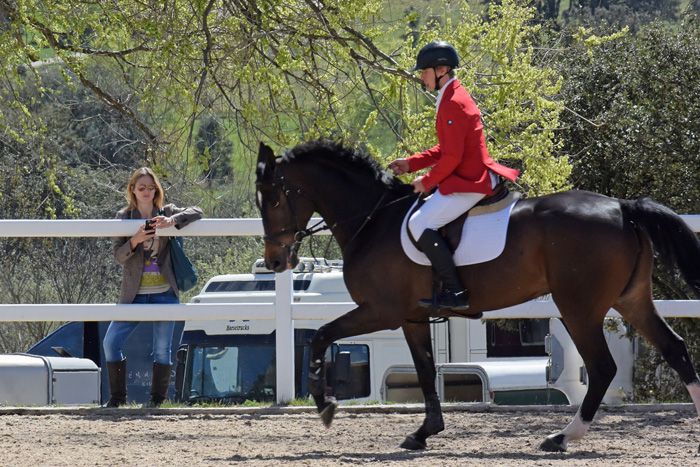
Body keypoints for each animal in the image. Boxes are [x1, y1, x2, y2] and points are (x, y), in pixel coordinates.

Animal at [254, 140, 700, 454]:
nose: (275, 261)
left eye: (273, 199)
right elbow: (424, 369)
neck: (373, 219)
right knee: (675, 349)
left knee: (604, 367)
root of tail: (622, 208)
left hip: (579, 307)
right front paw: (424, 433)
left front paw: (325, 406)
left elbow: (320, 337)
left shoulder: (380, 310)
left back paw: (561, 437)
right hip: (631, 300)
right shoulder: (412, 317)